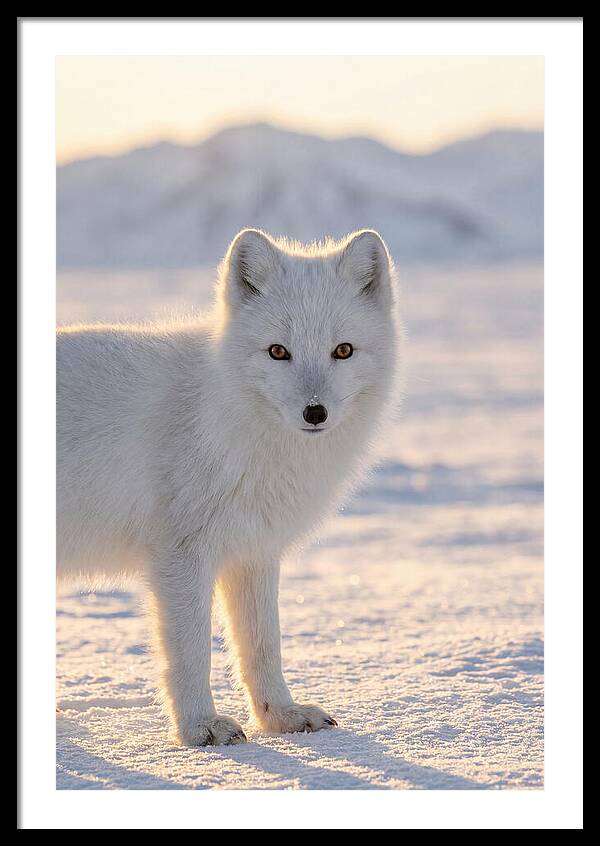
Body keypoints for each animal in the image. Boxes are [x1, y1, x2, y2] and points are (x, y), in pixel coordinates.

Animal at [57, 228, 402, 746]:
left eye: (343, 350)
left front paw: (280, 716)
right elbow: (191, 651)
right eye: (278, 351)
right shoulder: (180, 554)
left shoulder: (253, 550)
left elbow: (263, 644)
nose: (315, 412)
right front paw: (199, 728)